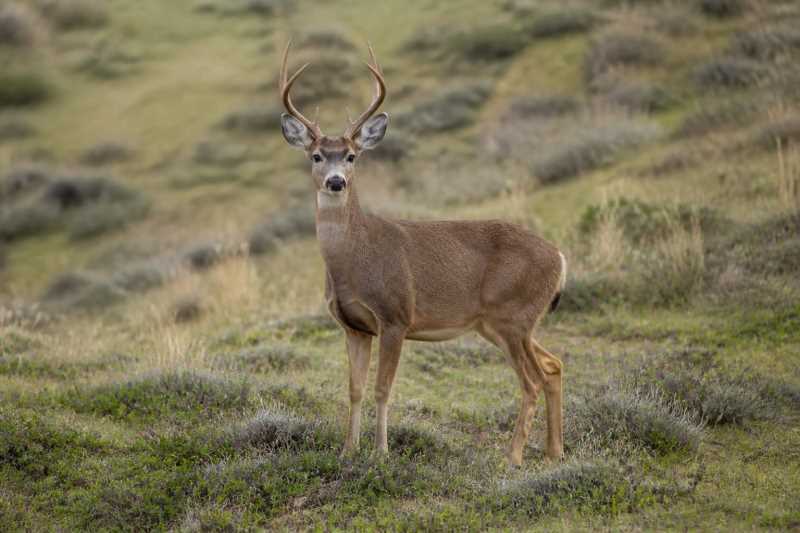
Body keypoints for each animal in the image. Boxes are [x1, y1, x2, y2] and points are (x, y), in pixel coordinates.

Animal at [278, 41, 567, 466]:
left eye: (351, 156)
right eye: (316, 156)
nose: (336, 182)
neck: (354, 259)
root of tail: (560, 258)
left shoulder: (395, 316)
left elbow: (383, 389)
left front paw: (381, 453)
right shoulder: (353, 326)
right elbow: (354, 389)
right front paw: (348, 450)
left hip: (513, 316)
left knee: (532, 380)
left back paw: (513, 456)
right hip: (506, 323)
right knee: (553, 366)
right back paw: (553, 452)